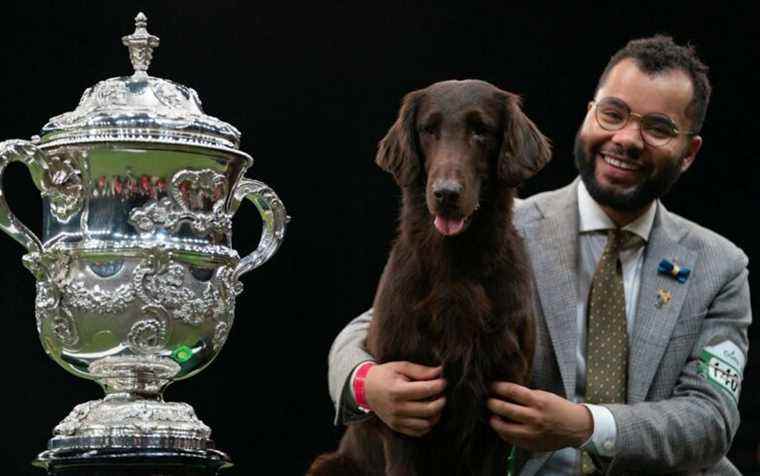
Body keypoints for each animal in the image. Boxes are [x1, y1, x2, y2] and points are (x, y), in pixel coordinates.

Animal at [308, 80, 552, 474]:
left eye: (480, 130)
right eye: (429, 130)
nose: (446, 194)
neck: (456, 266)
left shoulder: (500, 405)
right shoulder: (405, 411)